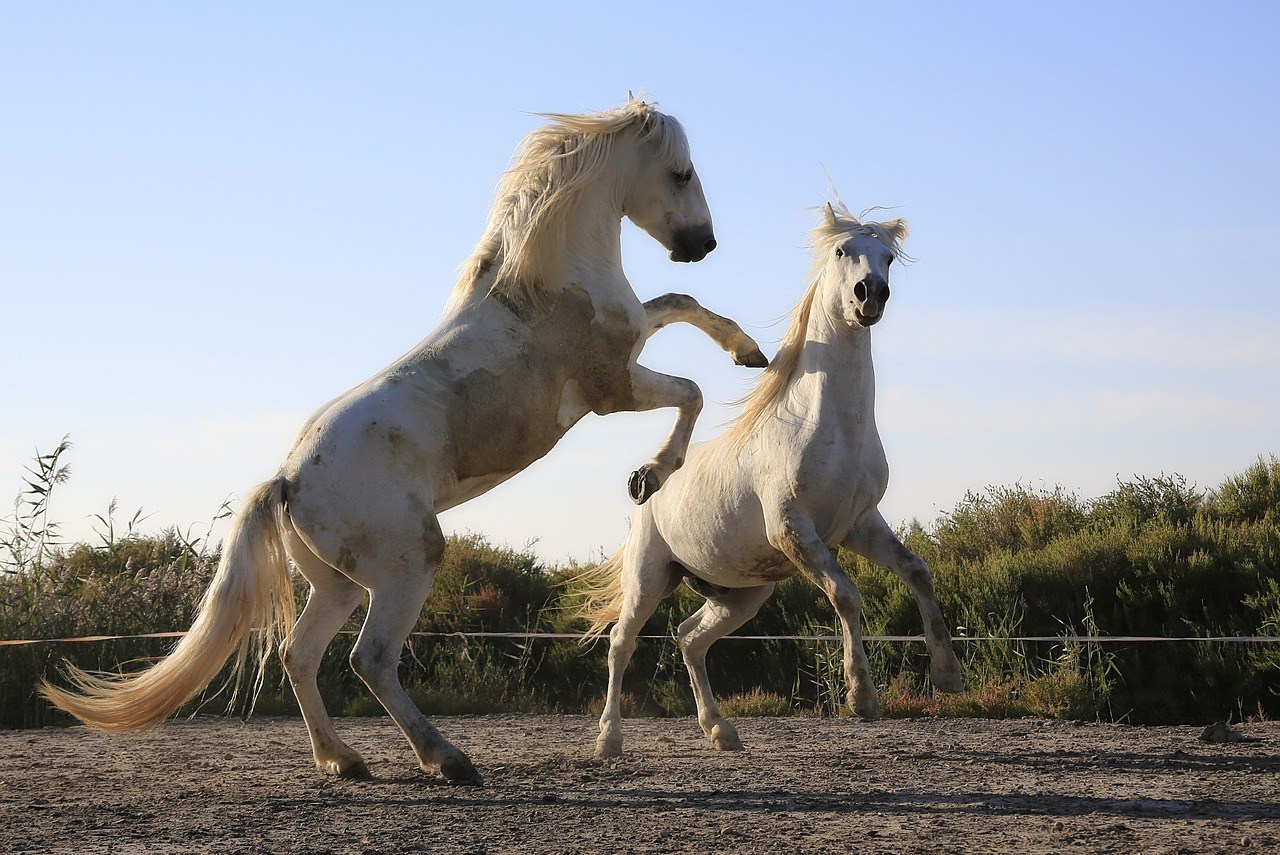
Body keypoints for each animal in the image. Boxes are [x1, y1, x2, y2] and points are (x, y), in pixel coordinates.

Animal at [42, 96, 768, 783]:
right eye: (681, 172)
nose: (701, 242)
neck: (543, 285)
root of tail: (288, 481)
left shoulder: (631, 344)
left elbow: (679, 304)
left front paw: (749, 353)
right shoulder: (612, 388)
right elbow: (689, 388)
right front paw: (652, 473)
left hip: (337, 584)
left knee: (299, 654)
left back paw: (344, 761)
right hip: (408, 561)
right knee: (370, 659)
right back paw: (447, 759)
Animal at [578, 202, 962, 762]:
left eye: (888, 258)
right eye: (842, 251)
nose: (870, 295)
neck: (833, 426)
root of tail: (648, 493)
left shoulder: (859, 525)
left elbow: (918, 572)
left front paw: (948, 675)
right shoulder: (794, 529)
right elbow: (846, 594)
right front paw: (862, 698)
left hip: (741, 594)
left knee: (690, 639)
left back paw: (721, 731)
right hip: (649, 577)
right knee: (621, 644)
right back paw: (609, 741)